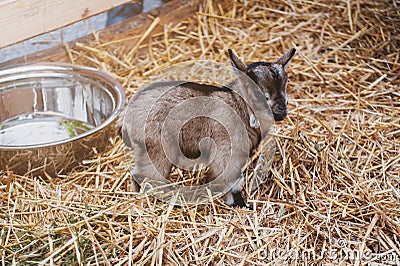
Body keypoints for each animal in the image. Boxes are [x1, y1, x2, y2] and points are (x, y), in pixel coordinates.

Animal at [120, 47, 296, 207]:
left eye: (285, 85)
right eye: (260, 94)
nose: (282, 111)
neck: (241, 107)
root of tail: (127, 116)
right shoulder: (226, 153)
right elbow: (232, 180)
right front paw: (238, 204)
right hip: (158, 150)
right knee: (148, 177)